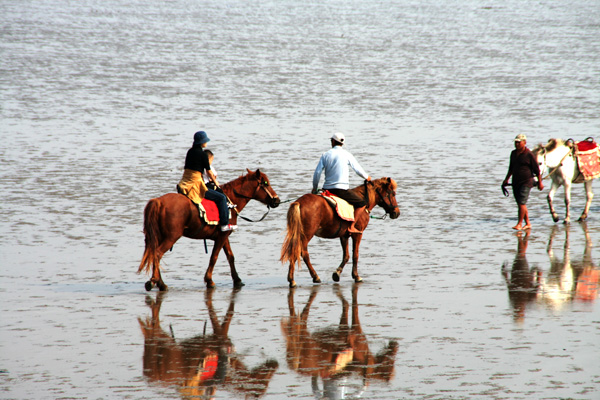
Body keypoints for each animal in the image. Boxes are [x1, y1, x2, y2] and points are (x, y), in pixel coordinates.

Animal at [139, 169, 282, 290]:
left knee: (154, 254)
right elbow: (214, 257)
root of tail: (158, 201)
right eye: (266, 183)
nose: (277, 200)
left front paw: (237, 279)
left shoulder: (224, 236)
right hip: (171, 237)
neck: (230, 201)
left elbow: (230, 256)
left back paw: (159, 283)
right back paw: (155, 281)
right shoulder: (222, 236)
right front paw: (209, 280)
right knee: (157, 253)